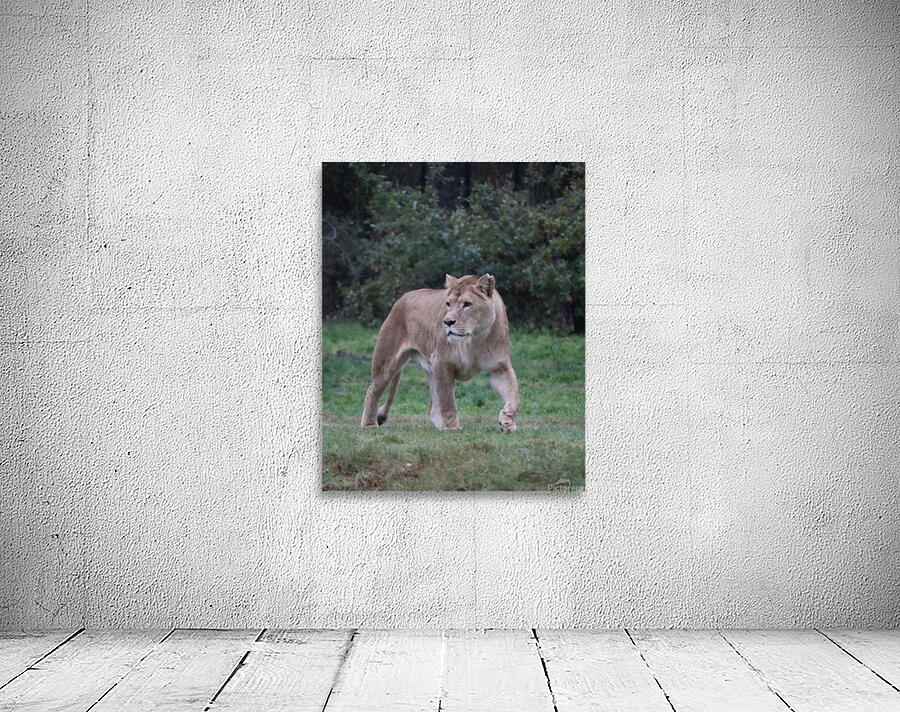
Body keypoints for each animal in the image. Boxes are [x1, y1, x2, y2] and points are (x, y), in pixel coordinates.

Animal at [361, 273, 520, 433]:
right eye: (448, 304)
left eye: (467, 304)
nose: (448, 322)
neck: (474, 338)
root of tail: (402, 298)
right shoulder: (442, 362)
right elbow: (447, 400)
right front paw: (451, 427)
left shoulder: (500, 368)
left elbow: (514, 393)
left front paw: (507, 420)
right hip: (386, 362)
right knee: (372, 391)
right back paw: (369, 424)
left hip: (430, 369)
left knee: (432, 408)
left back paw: (439, 426)